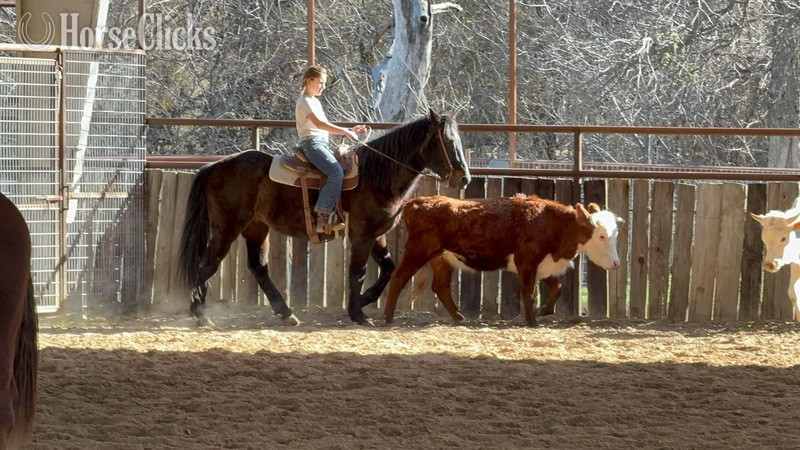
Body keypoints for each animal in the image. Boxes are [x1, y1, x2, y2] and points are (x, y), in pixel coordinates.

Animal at [178, 109, 471, 325]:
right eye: (448, 141)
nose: (464, 178)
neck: (376, 176)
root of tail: (215, 165)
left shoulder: (377, 234)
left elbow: (388, 267)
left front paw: (364, 300)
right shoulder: (362, 233)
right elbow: (358, 271)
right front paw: (358, 313)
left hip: (256, 228)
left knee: (258, 267)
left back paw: (286, 314)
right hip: (226, 228)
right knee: (208, 265)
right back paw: (201, 315)